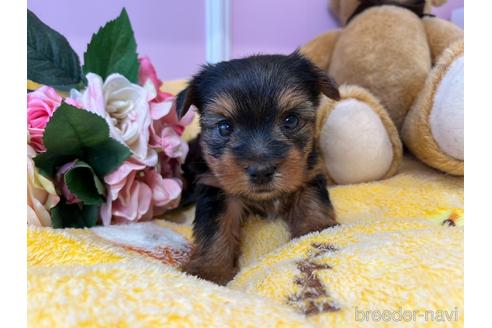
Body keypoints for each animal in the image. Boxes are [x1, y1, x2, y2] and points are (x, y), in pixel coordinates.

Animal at [178, 51, 342, 284]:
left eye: (291, 120)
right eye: (224, 127)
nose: (261, 171)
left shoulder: (309, 170)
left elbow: (312, 200)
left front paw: (317, 228)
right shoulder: (216, 188)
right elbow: (215, 228)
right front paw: (209, 270)